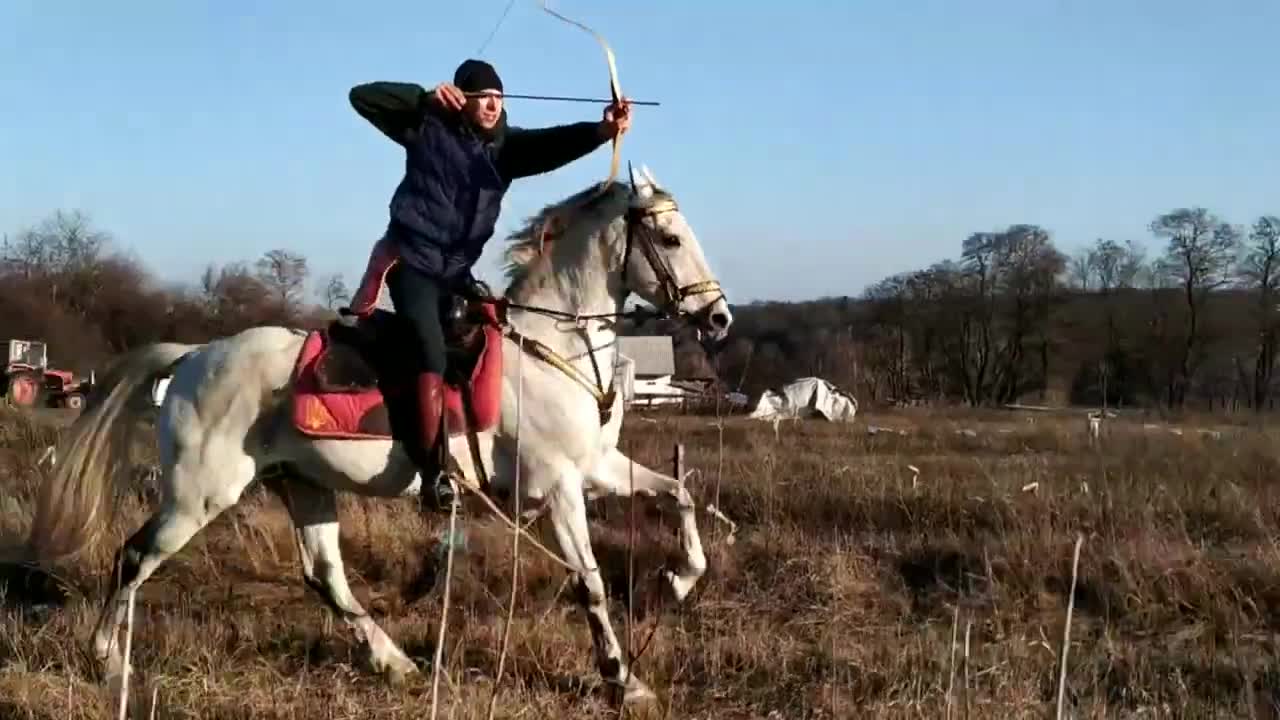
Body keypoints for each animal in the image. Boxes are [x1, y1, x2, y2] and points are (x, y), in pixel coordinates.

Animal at [25, 164, 734, 704]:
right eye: (669, 238)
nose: (718, 317)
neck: (549, 346)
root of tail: (195, 355)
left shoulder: (596, 469)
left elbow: (681, 495)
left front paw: (677, 581)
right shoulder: (558, 485)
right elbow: (588, 580)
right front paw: (622, 679)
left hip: (302, 485)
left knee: (325, 577)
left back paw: (391, 661)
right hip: (200, 494)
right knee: (134, 556)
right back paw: (107, 661)